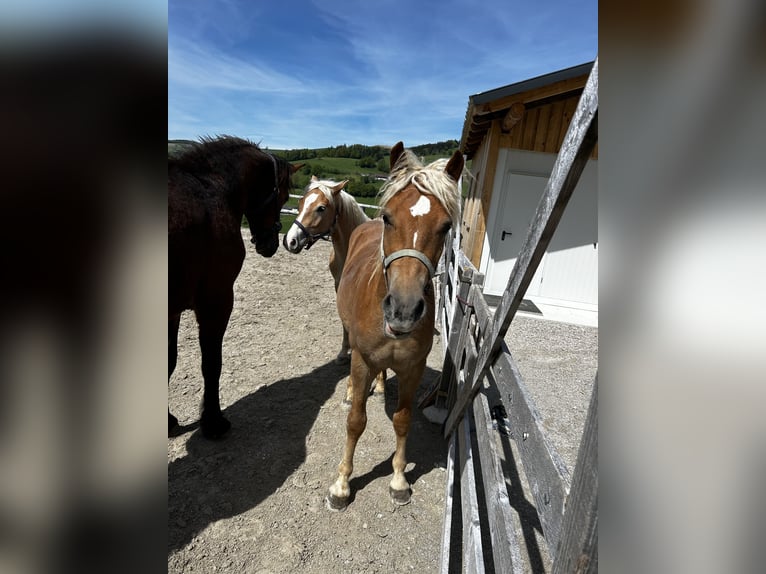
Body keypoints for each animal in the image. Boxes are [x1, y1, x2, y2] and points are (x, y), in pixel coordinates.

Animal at [171, 137, 300, 438]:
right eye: (283, 197)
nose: (270, 244)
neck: (211, 191)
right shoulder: (216, 301)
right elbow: (212, 363)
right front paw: (213, 421)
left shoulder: (172, 311)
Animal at [328, 142, 464, 510]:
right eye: (389, 217)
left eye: (445, 226)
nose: (403, 309)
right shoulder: (363, 360)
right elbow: (355, 422)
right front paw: (342, 484)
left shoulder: (412, 369)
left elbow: (403, 421)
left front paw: (400, 479)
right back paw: (352, 390)